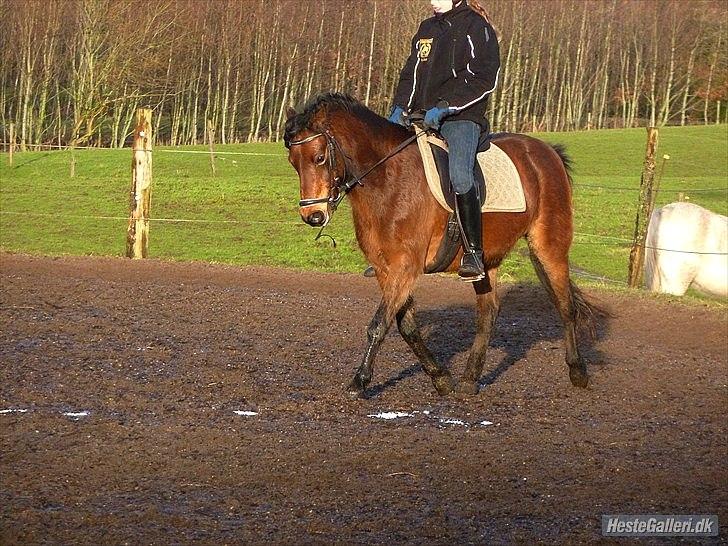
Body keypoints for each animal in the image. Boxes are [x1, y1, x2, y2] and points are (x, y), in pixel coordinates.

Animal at [284, 92, 600, 397]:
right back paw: (469, 379)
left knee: (565, 306)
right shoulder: (386, 269)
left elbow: (378, 325)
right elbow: (406, 326)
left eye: (320, 157)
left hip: (549, 247)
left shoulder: (405, 266)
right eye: (292, 162)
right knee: (488, 313)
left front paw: (359, 381)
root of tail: (547, 151)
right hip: (487, 260)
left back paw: (578, 371)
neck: (386, 179)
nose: (313, 216)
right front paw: (441, 378)